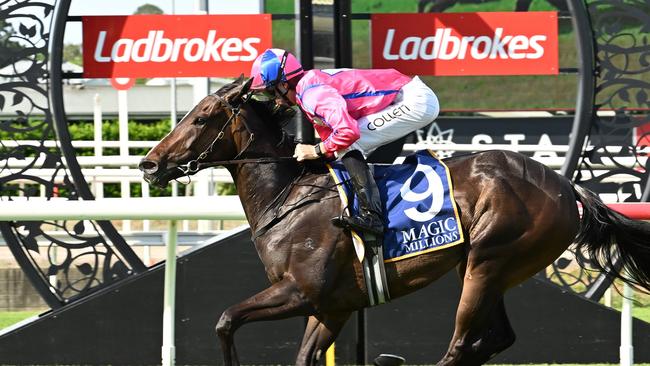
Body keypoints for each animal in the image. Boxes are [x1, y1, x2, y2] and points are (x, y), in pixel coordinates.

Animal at [139, 76, 648, 364]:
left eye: (202, 117)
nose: (149, 163)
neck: (288, 197)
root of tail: (567, 187)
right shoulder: (334, 306)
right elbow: (302, 356)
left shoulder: (302, 292)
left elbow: (226, 320)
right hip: (491, 270)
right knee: (494, 340)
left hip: (488, 262)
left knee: (464, 344)